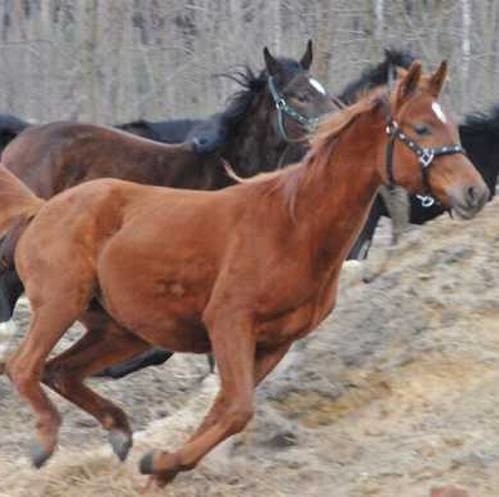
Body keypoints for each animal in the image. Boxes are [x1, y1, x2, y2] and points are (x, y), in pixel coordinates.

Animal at [0, 61, 488, 484]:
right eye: (421, 128)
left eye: (452, 126)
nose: (475, 192)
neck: (294, 224)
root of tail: (41, 209)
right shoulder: (229, 322)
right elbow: (236, 409)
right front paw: (160, 464)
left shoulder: (275, 341)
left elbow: (224, 411)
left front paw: (160, 466)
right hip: (61, 302)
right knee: (23, 365)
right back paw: (45, 441)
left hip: (119, 329)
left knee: (60, 371)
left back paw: (119, 431)